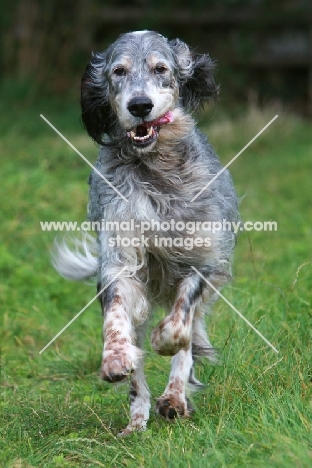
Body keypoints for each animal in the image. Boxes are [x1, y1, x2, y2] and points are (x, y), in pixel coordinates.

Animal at [53, 30, 239, 436]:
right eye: (118, 71)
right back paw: (137, 421)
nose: (140, 105)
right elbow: (117, 315)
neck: (155, 167)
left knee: (186, 342)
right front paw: (114, 359)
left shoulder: (201, 258)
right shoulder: (119, 259)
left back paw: (174, 399)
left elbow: (180, 325)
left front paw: (164, 341)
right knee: (137, 371)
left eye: (161, 69)